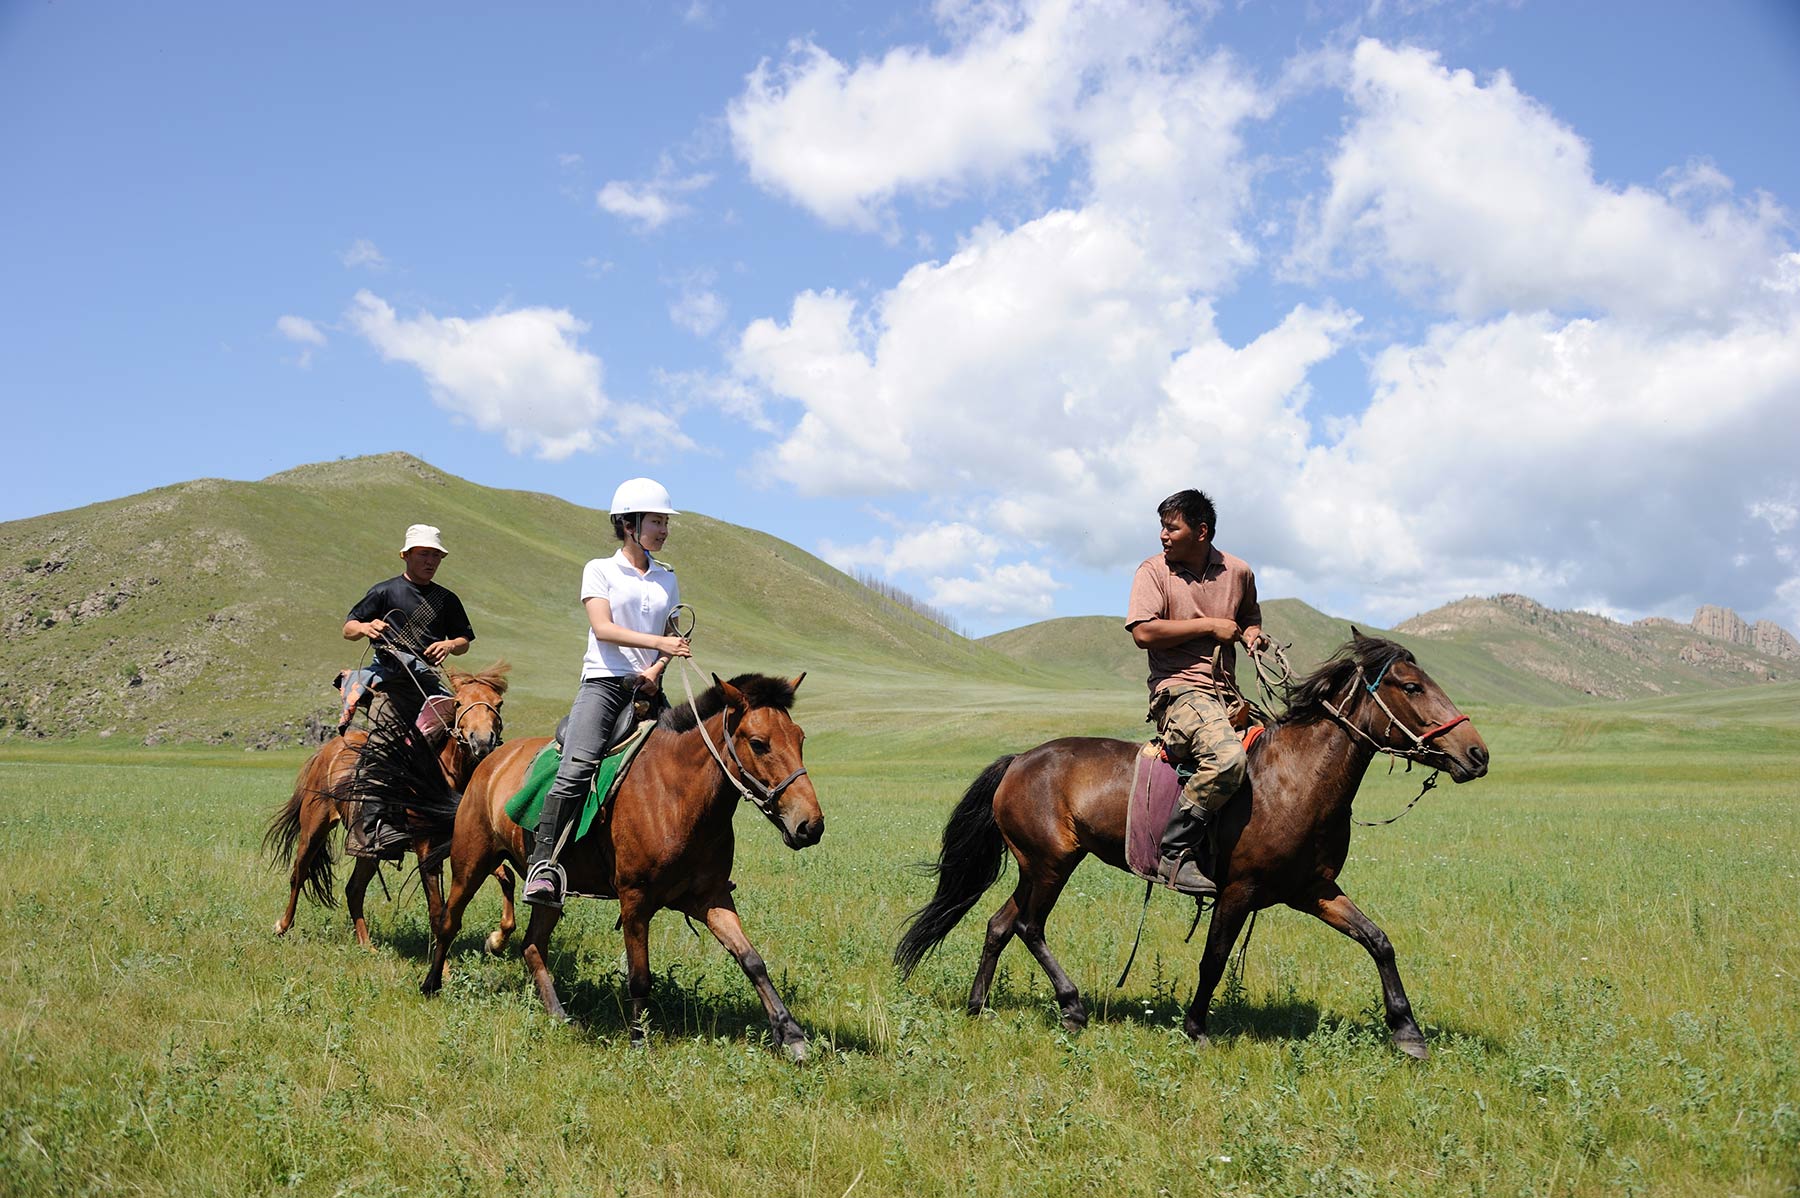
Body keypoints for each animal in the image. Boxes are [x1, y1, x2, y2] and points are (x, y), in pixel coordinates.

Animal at [262, 658, 511, 949]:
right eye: (458, 703)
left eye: (499, 703)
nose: (482, 742)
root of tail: (327, 750)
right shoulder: (427, 849)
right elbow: (436, 909)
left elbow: (506, 877)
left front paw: (497, 939)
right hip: (314, 827)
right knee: (299, 873)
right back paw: (282, 925)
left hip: (367, 846)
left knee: (354, 889)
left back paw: (367, 946)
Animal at [349, 672, 824, 1057]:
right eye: (759, 743)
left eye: (800, 738)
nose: (810, 826)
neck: (676, 794)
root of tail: (488, 762)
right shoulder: (635, 901)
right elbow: (640, 976)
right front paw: (638, 1041)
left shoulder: (711, 898)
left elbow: (752, 960)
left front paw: (792, 1036)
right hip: (472, 861)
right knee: (448, 920)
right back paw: (432, 985)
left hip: (546, 890)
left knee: (532, 944)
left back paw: (559, 1014)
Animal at [896, 633, 1490, 1057]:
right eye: (1411, 687)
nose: (1478, 754)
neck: (1296, 779)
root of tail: (1019, 759)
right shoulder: (1238, 891)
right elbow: (1214, 959)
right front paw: (1197, 1028)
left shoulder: (1314, 890)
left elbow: (1378, 941)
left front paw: (1407, 1032)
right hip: (1050, 865)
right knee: (1027, 926)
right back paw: (1072, 1007)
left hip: (1038, 866)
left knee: (1000, 924)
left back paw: (978, 1007)